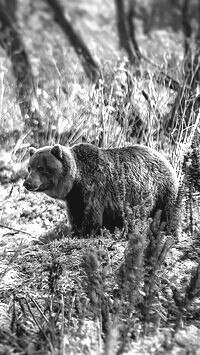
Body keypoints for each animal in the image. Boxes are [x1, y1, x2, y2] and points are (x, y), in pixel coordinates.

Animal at [23, 143, 178, 238]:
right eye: (29, 167)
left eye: (41, 168)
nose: (27, 183)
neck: (76, 180)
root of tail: (164, 157)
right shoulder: (74, 197)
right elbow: (75, 215)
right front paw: (74, 232)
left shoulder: (95, 187)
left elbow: (91, 214)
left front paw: (86, 233)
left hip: (161, 188)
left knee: (169, 210)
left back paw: (170, 231)